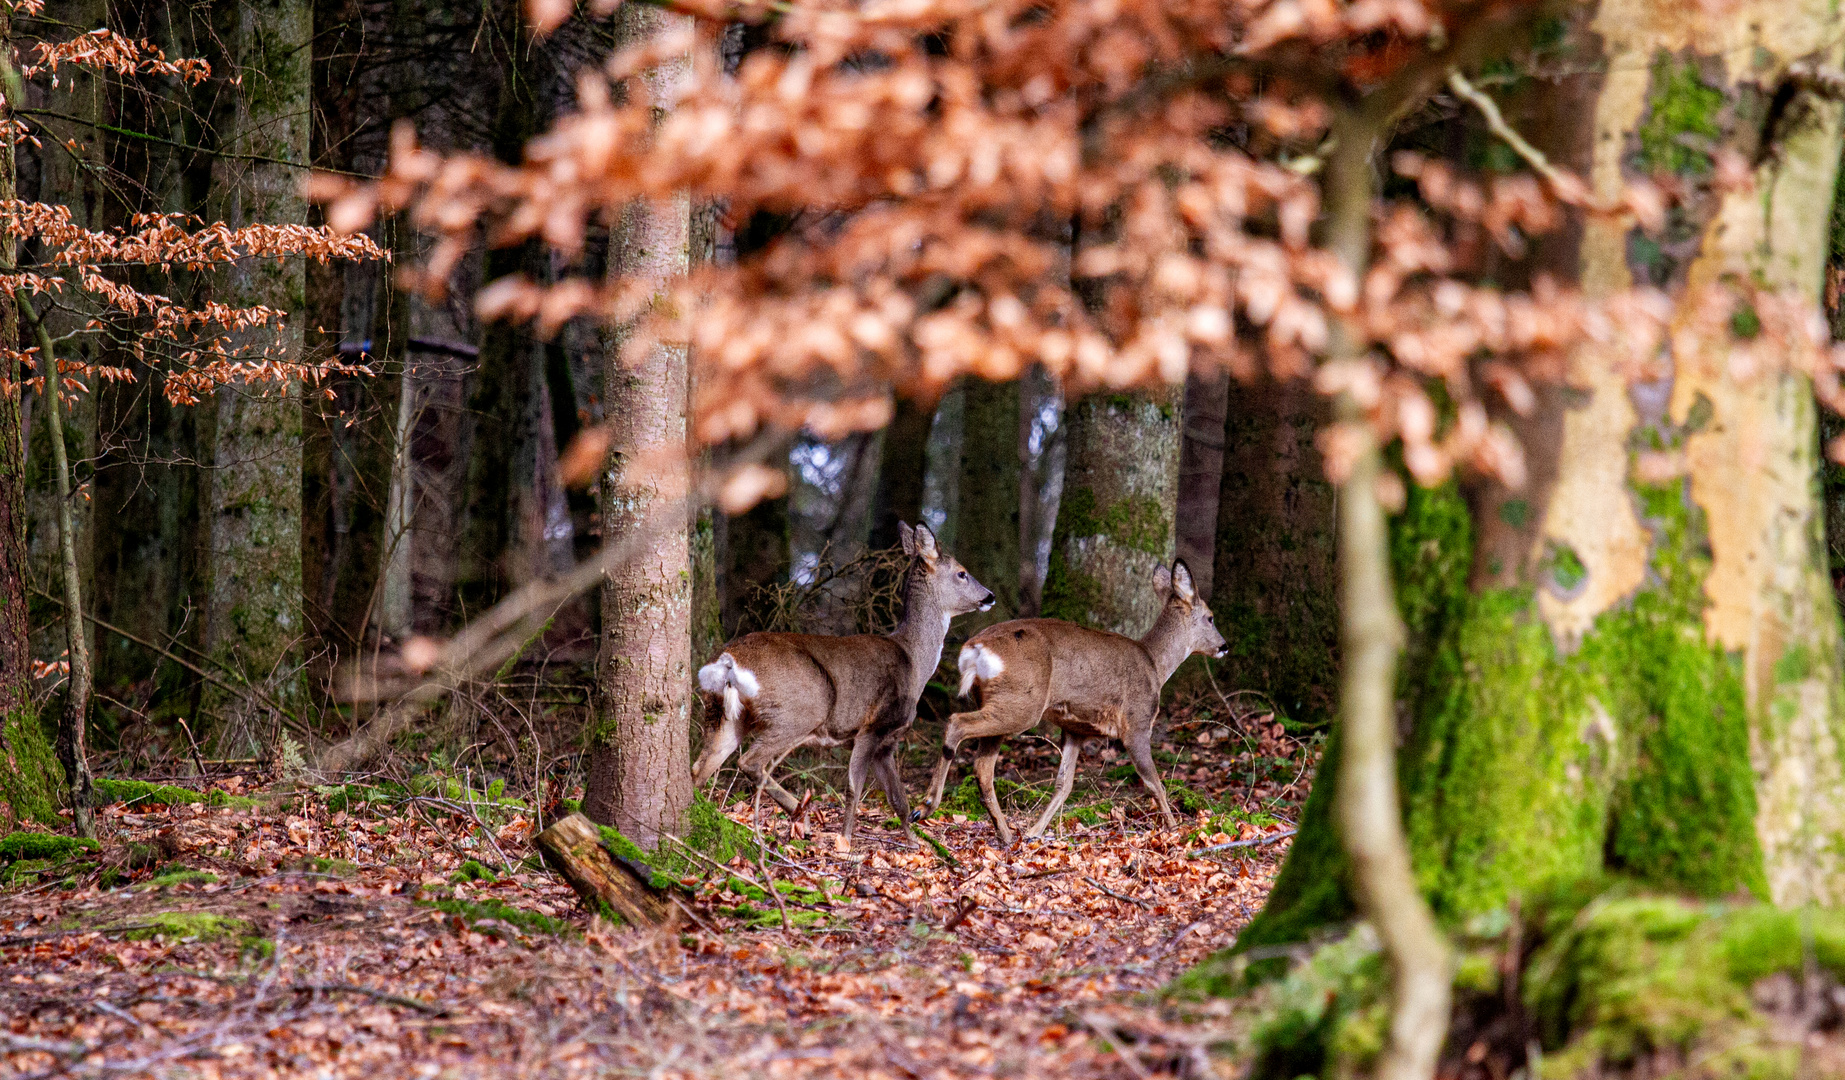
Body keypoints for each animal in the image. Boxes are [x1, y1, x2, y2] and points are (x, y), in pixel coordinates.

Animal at [693, 520, 996, 841]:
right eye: (962, 573)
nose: (990, 595)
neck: (913, 661)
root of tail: (728, 661)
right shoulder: (874, 725)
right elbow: (854, 788)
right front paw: (846, 841)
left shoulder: (888, 740)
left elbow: (898, 797)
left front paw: (915, 840)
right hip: (800, 709)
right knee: (750, 762)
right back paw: (804, 818)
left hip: (724, 715)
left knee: (700, 767)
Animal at [907, 561, 1225, 845]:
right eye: (1210, 617)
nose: (1224, 646)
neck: (1155, 665)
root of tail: (974, 649)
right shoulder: (1136, 721)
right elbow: (1153, 781)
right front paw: (1174, 830)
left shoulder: (1075, 729)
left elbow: (1064, 784)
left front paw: (1034, 831)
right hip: (1022, 703)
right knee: (956, 723)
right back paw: (925, 807)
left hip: (999, 700)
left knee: (983, 766)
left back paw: (1006, 834)